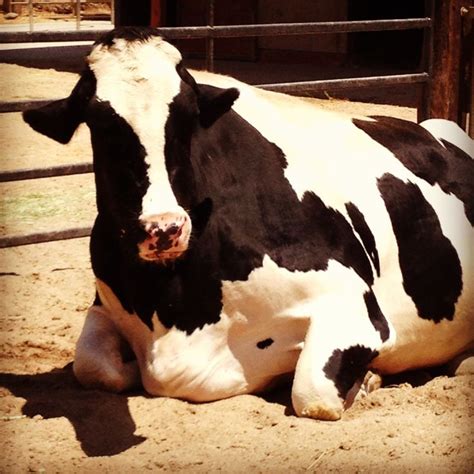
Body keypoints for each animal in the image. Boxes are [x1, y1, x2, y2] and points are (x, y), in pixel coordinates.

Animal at [25, 27, 474, 420]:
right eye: (99, 123)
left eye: (187, 118)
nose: (164, 228)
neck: (174, 306)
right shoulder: (105, 304)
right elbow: (93, 367)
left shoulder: (353, 303)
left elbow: (313, 395)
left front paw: (367, 380)